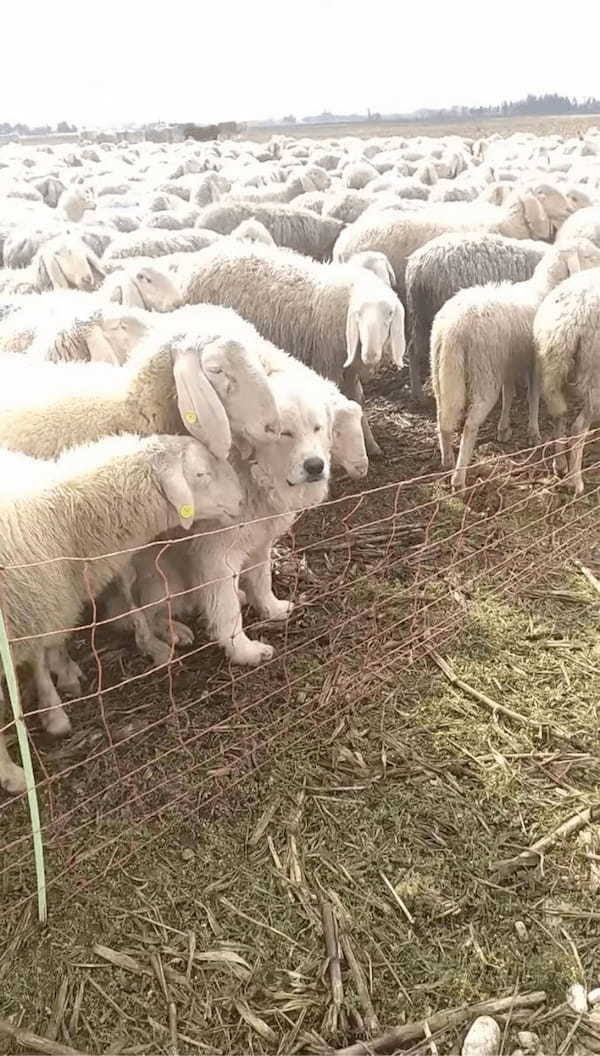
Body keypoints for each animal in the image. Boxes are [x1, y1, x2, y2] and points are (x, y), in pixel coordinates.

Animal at [0, 430, 244, 794]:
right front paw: (12, 773)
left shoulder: (37, 607)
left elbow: (40, 656)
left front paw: (53, 711)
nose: (242, 501)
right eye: (201, 474)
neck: (62, 518)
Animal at [430, 239, 600, 489]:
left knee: (443, 415)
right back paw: (459, 478)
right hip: (485, 372)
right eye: (588, 255)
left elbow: (508, 395)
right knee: (470, 424)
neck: (545, 288)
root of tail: (454, 327)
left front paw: (504, 428)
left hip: (442, 371)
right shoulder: (535, 365)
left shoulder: (510, 365)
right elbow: (533, 396)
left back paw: (447, 460)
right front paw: (533, 432)